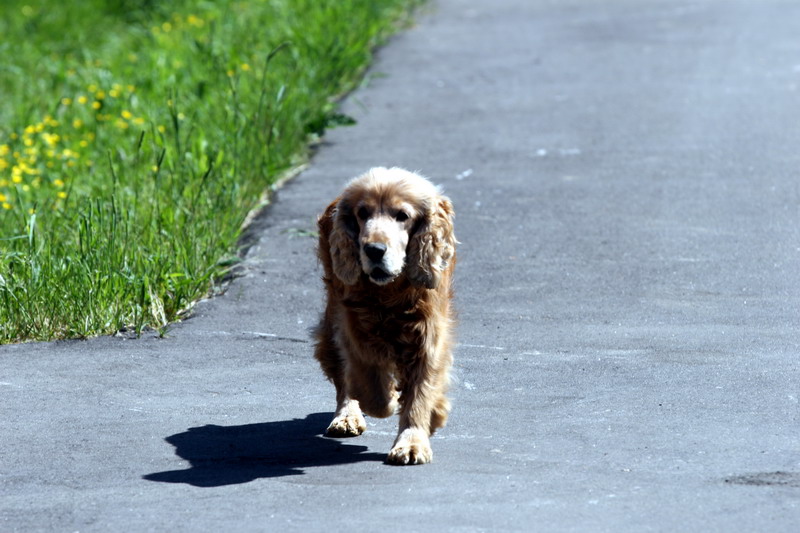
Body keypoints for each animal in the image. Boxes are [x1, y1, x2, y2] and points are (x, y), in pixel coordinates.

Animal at [316, 168, 460, 464]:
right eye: (362, 213)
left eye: (402, 215)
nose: (374, 250)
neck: (389, 292)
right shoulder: (355, 328)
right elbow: (374, 392)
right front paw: (391, 399)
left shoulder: (428, 335)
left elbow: (421, 392)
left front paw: (414, 441)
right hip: (333, 318)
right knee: (343, 376)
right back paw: (347, 416)